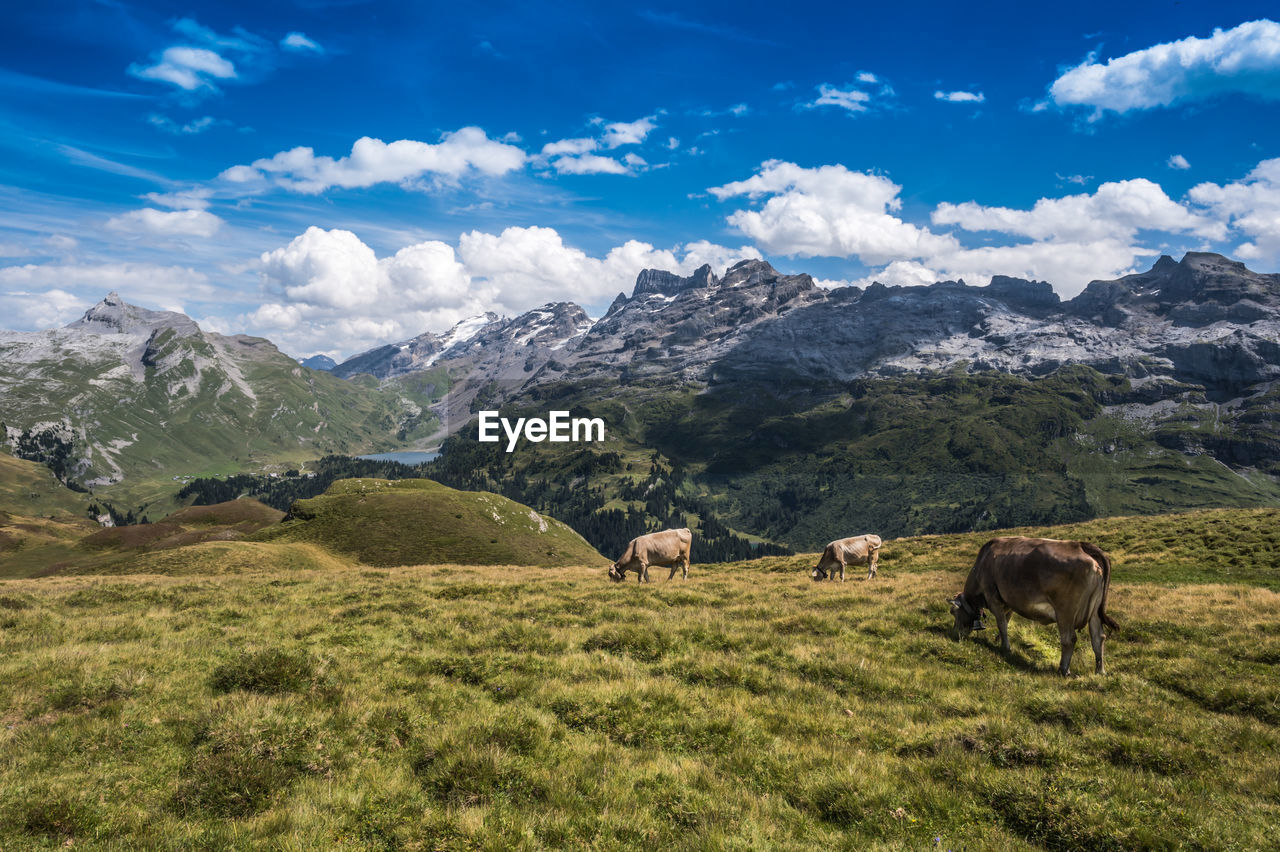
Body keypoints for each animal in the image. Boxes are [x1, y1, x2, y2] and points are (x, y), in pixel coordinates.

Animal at [952, 534, 1121, 675]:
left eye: (953, 612)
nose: (956, 634)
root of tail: (1080, 545)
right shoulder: (1009, 601)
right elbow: (1006, 621)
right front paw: (998, 640)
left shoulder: (993, 598)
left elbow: (1002, 624)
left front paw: (1005, 647)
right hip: (1095, 611)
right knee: (1098, 638)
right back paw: (1100, 671)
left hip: (1065, 611)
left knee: (1069, 639)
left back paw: (1063, 669)